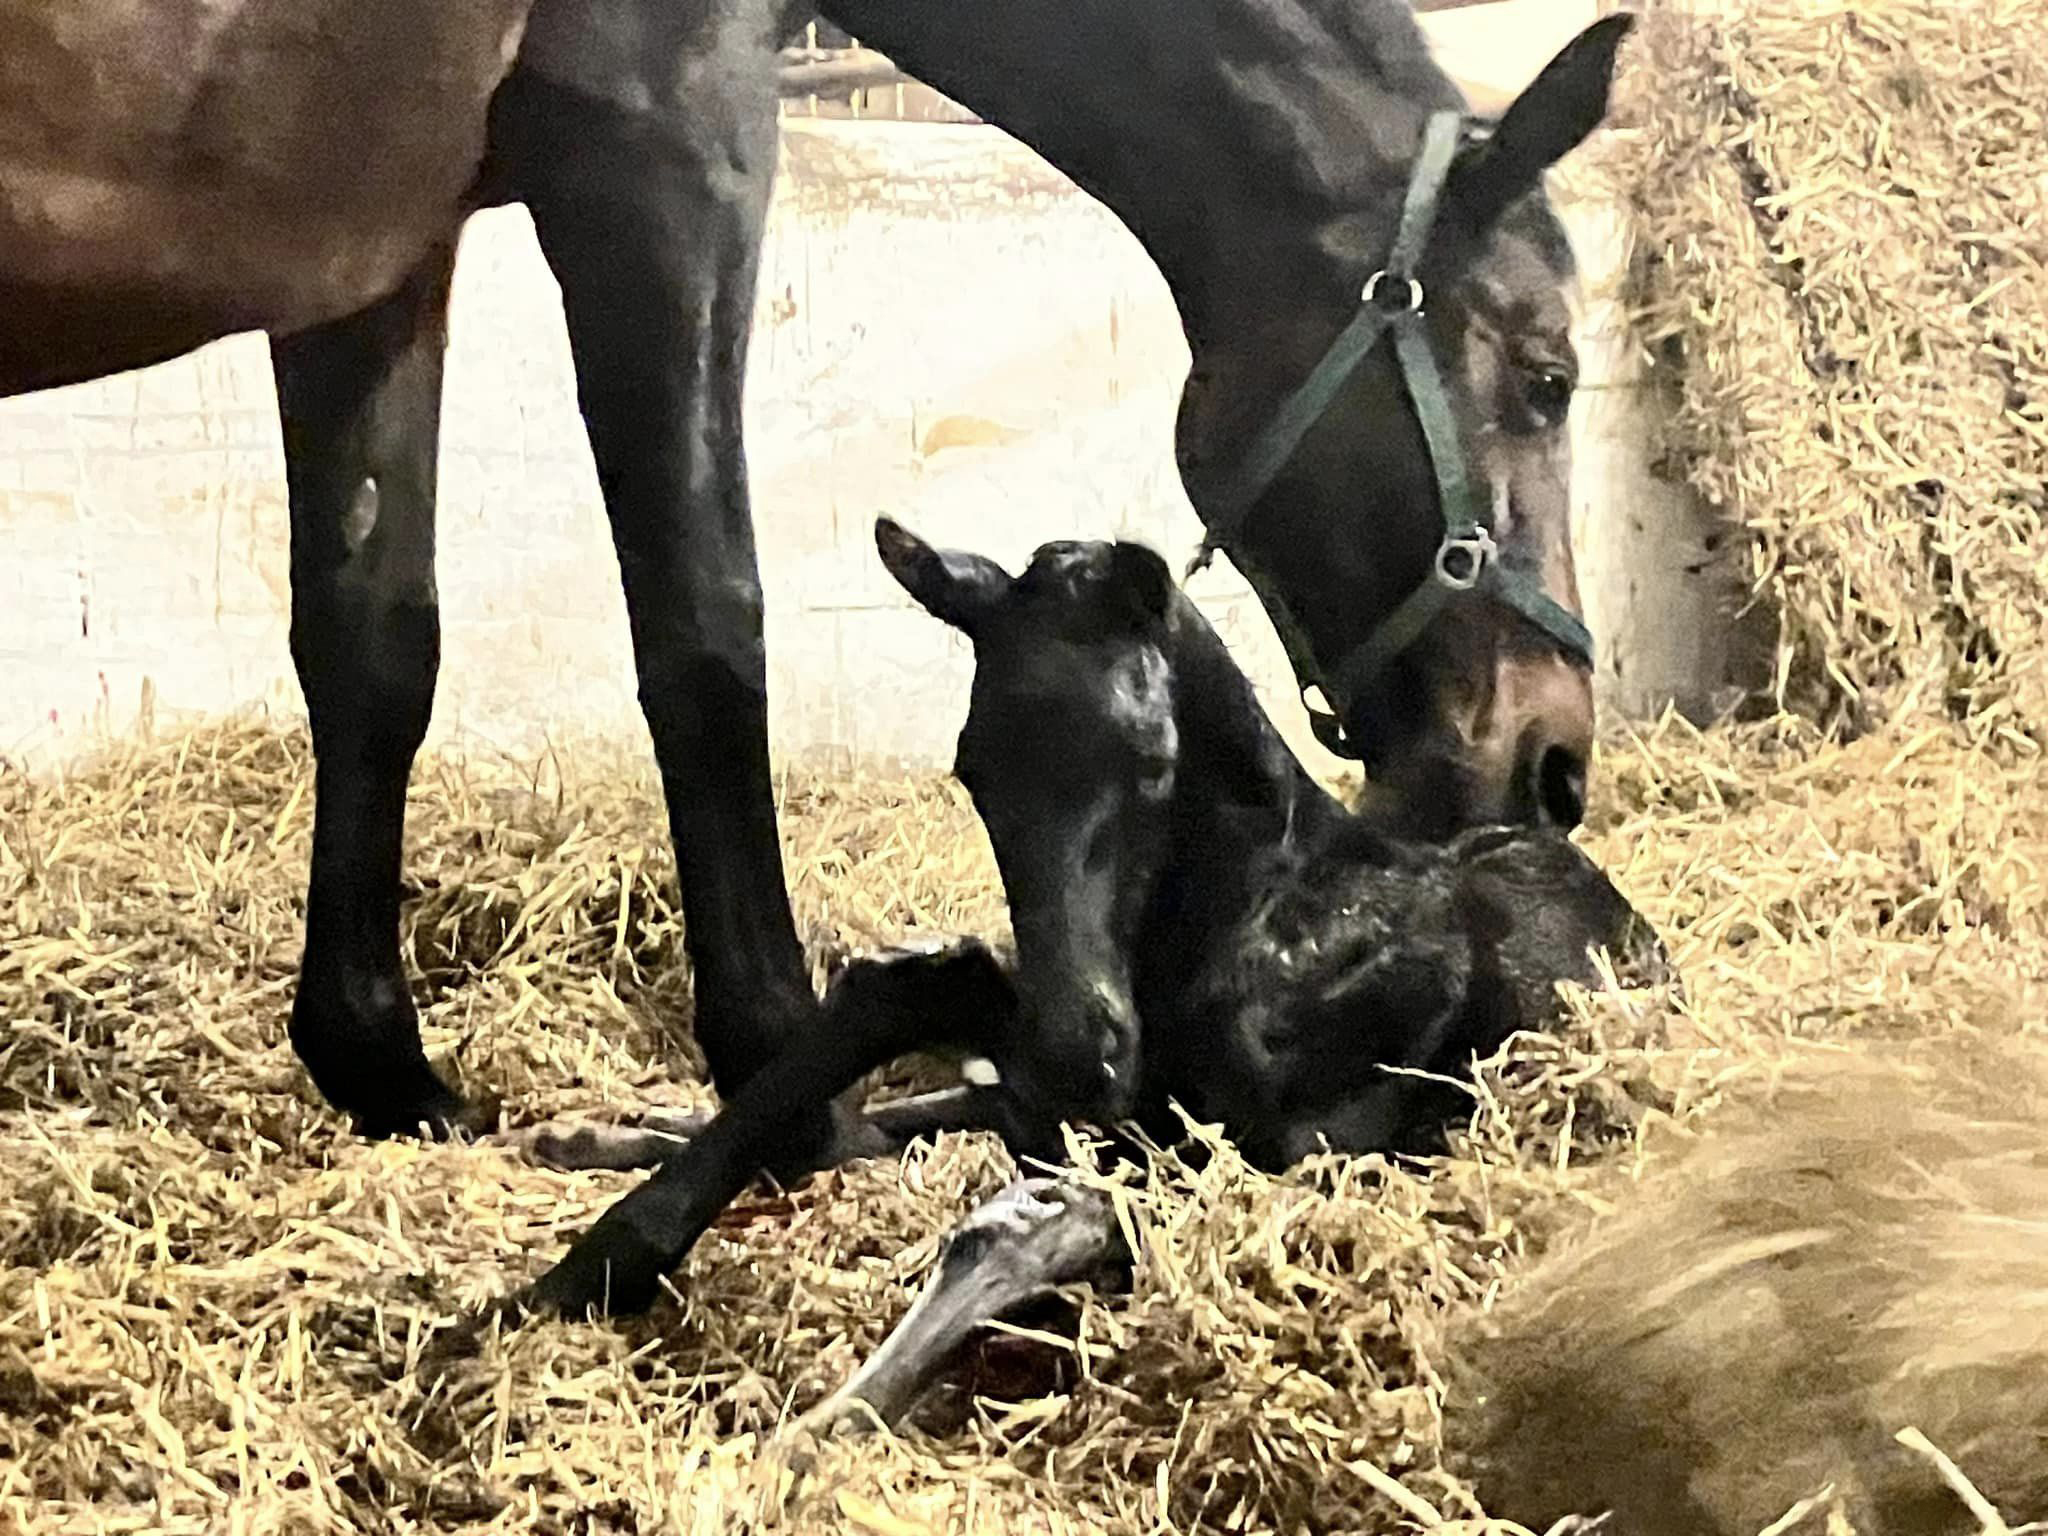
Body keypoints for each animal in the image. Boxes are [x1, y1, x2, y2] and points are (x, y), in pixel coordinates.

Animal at [516, 520, 1662, 1392]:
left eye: (1152, 761)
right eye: (972, 767)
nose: (1079, 1051)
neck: (1263, 915)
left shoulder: (1276, 1151)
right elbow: (905, 993)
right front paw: (585, 1269)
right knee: (931, 1108)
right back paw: (586, 1133)